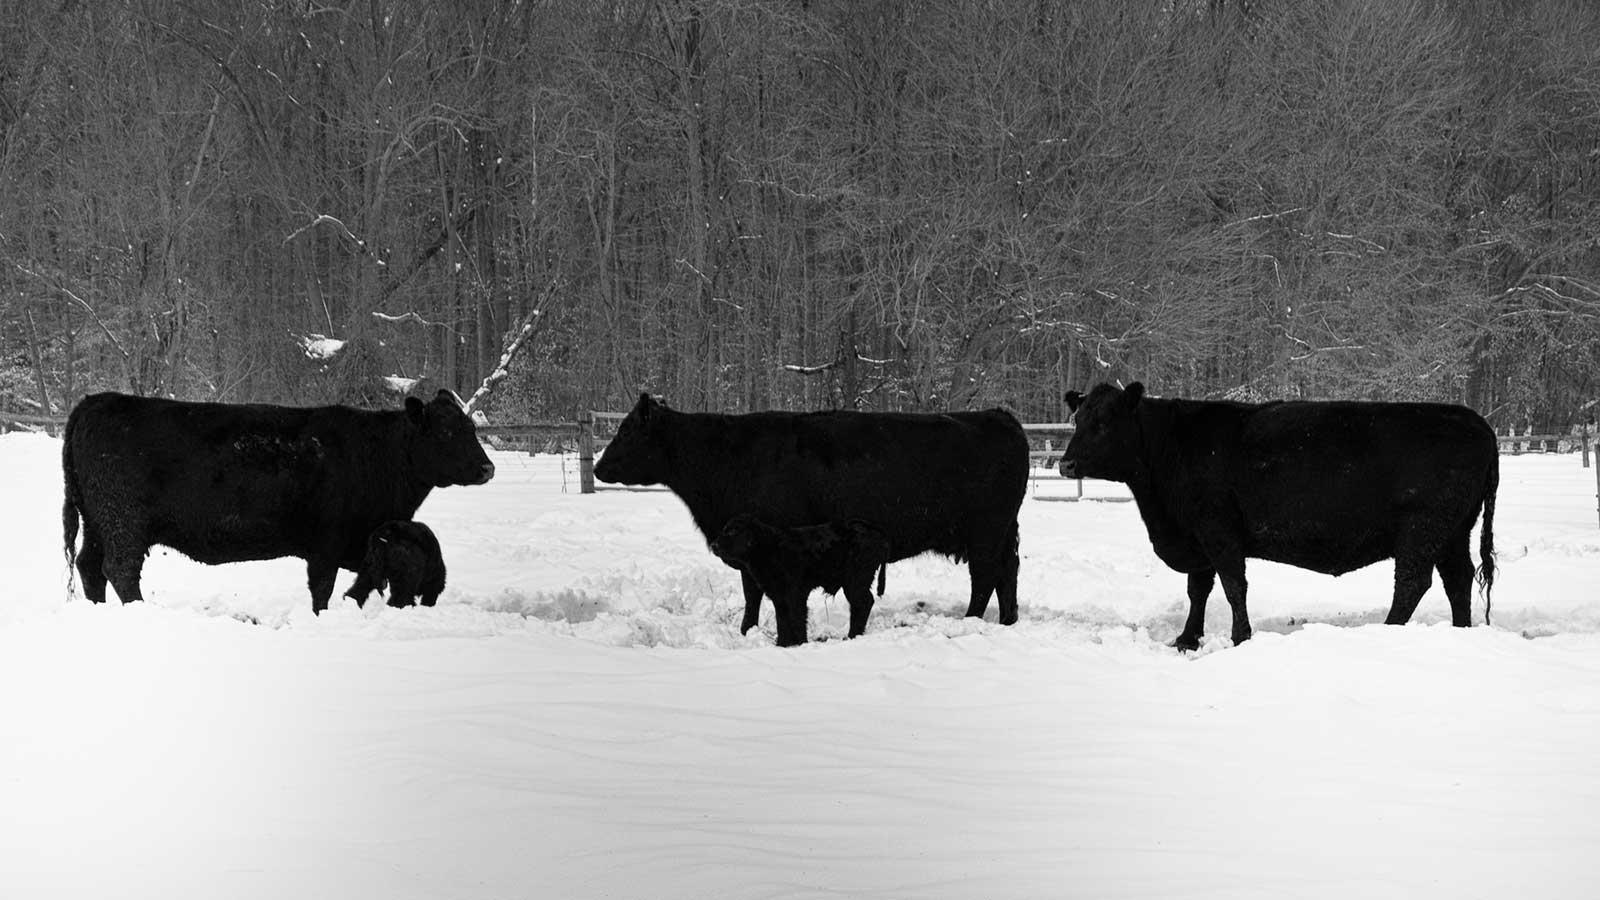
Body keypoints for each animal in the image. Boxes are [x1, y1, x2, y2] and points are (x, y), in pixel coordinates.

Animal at [64, 387, 492, 608]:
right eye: (447, 432)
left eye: (471, 428)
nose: (488, 468)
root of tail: (96, 400)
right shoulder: (326, 544)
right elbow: (322, 589)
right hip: (123, 521)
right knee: (120, 569)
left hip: (97, 520)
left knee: (89, 566)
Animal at [710, 512, 889, 643]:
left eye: (733, 531)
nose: (713, 545)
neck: (770, 548)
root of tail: (874, 529)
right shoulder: (778, 596)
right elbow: (782, 621)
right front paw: (783, 644)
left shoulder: (795, 593)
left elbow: (797, 619)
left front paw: (801, 643)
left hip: (856, 579)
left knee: (863, 603)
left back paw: (852, 636)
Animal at [1062, 381, 1497, 646]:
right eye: (1078, 419)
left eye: (1103, 423)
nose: (1066, 464)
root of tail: (1474, 420)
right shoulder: (1196, 536)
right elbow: (1198, 589)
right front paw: (1186, 639)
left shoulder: (1217, 528)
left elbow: (1233, 586)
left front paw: (1240, 637)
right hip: (1453, 531)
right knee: (1457, 580)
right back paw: (1461, 631)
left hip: (1423, 527)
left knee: (1411, 583)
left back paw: (1387, 630)